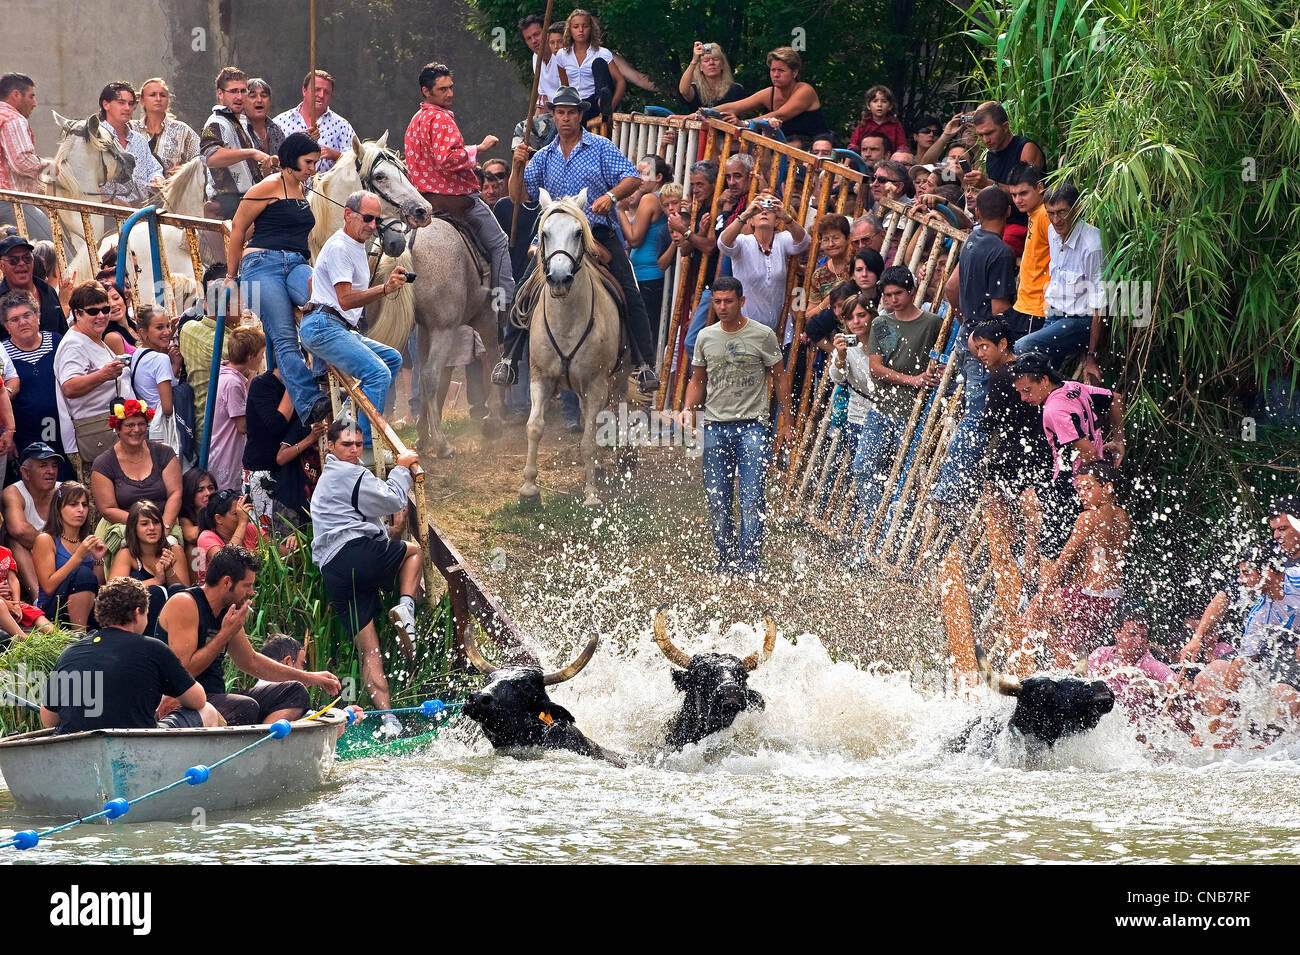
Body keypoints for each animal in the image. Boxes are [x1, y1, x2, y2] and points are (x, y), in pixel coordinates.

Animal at [517, 191, 624, 511]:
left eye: (578, 232)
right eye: (545, 233)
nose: (560, 278)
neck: (567, 320)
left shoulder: (596, 384)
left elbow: (588, 440)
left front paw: (591, 494)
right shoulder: (540, 378)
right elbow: (534, 427)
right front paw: (529, 488)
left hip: (620, 375)